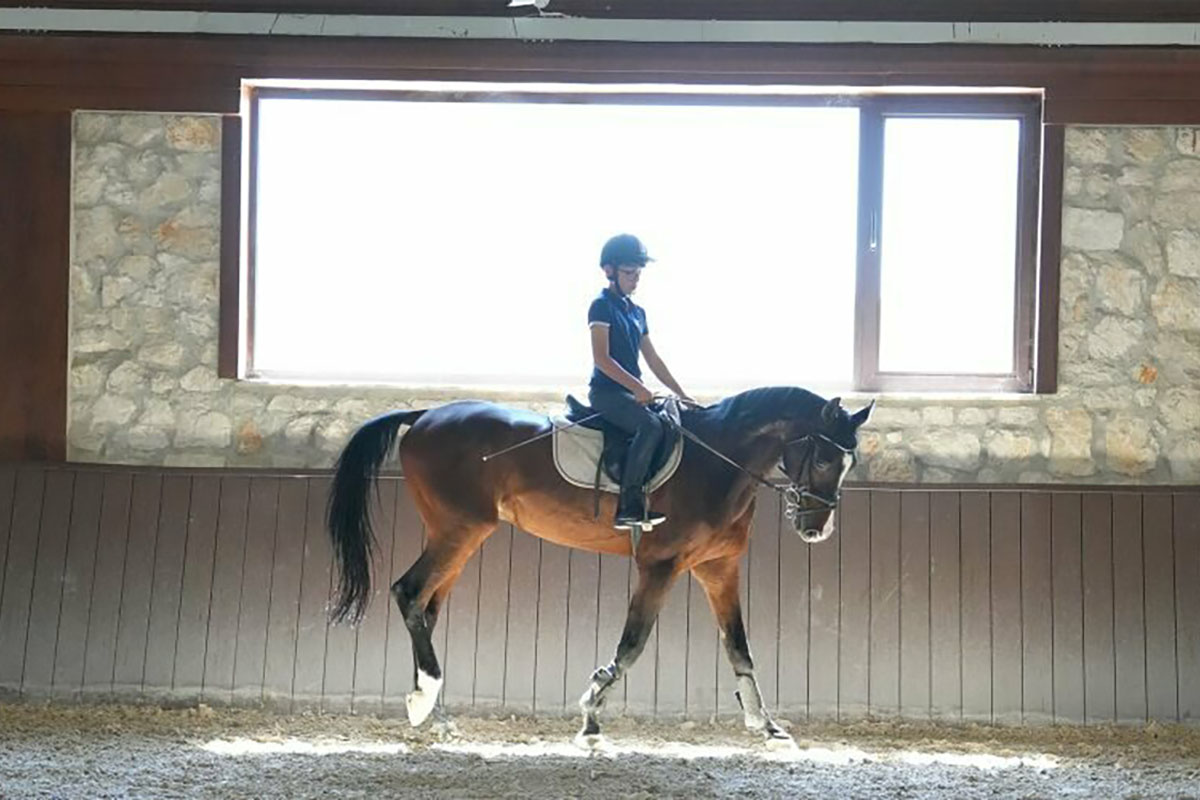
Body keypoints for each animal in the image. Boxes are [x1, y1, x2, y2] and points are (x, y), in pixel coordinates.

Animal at [327, 386, 873, 748]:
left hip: (458, 535)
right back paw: (425, 699)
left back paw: (433, 710)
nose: (815, 529)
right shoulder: (660, 565)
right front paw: (590, 715)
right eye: (824, 458)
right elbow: (632, 645)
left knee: (426, 606)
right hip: (459, 529)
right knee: (408, 592)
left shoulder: (718, 568)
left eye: (847, 463)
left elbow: (739, 648)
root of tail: (425, 414)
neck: (718, 462)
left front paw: (767, 724)